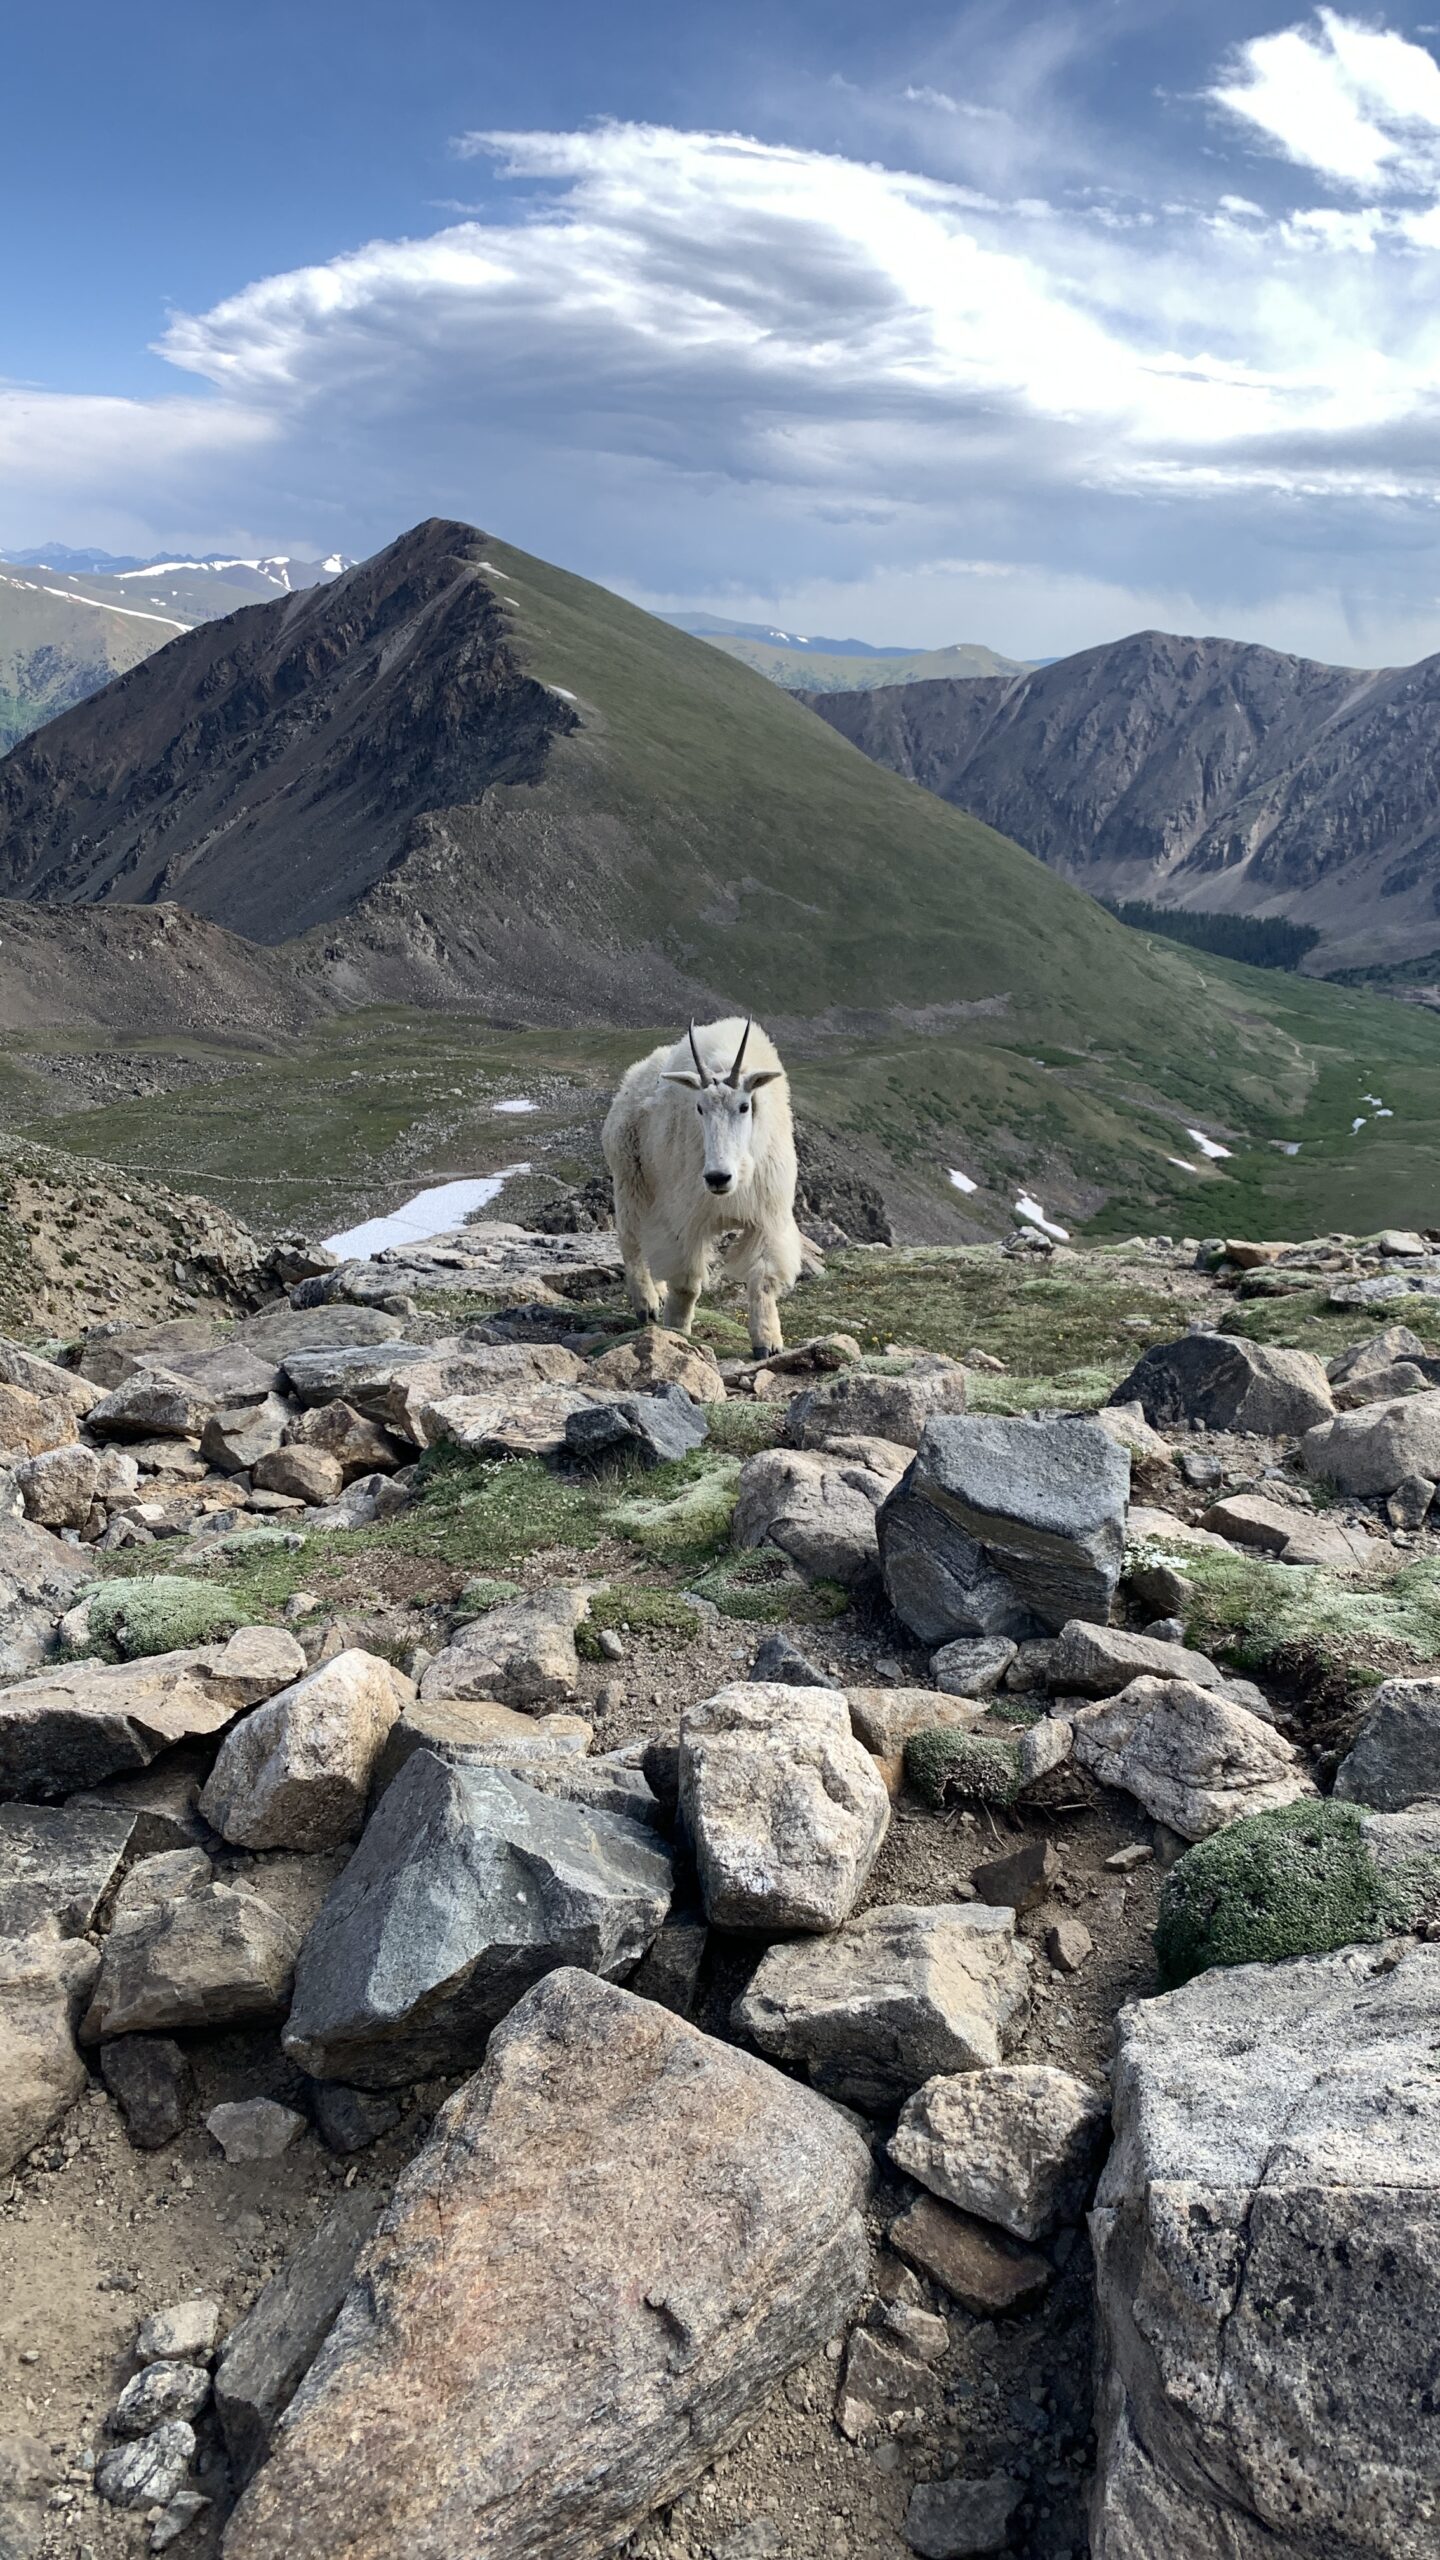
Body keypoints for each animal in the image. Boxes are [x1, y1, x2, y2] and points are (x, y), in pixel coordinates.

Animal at [597, 1013, 809, 1361]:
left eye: (744, 1106)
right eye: (699, 1108)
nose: (717, 1178)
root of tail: (633, 1076)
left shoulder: (766, 1216)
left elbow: (763, 1278)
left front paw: (767, 1342)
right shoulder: (687, 1216)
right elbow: (686, 1281)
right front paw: (676, 1330)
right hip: (631, 1180)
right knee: (632, 1242)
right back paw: (647, 1305)